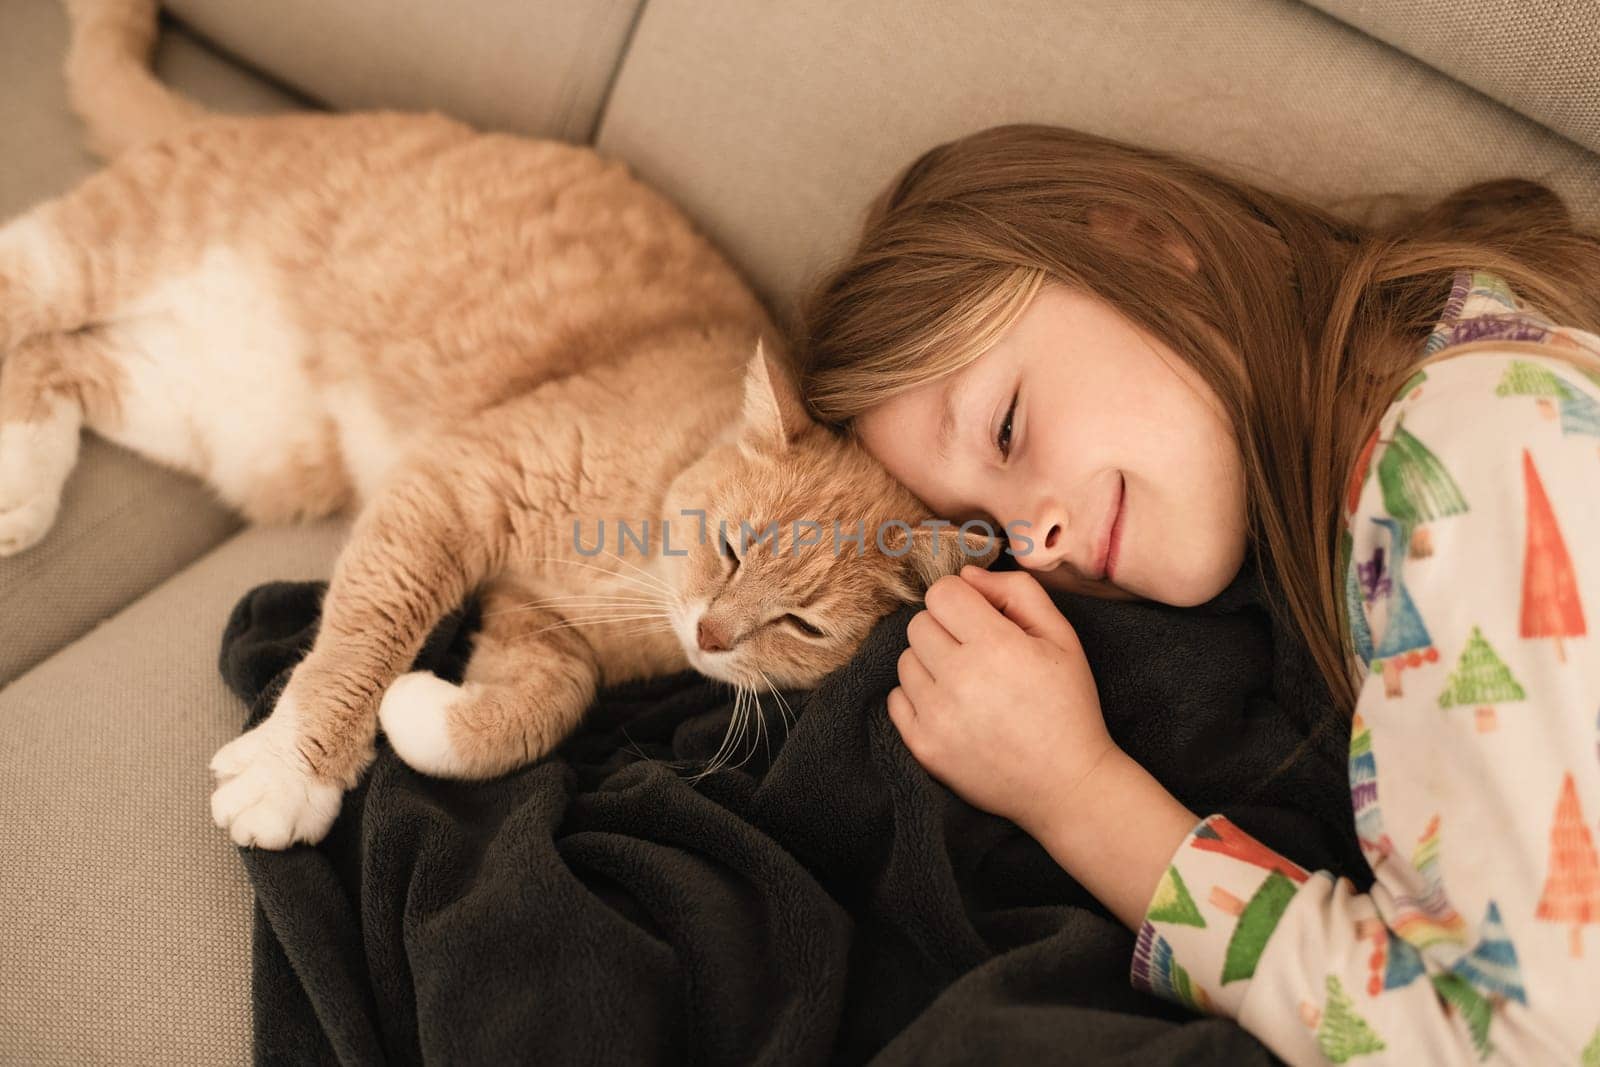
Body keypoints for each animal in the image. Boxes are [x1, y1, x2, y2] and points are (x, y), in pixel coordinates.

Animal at [0, 0, 985, 851]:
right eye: (732, 547)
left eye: (802, 627)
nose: (710, 637)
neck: (636, 566)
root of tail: (251, 124)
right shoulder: (453, 488)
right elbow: (366, 633)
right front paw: (292, 769)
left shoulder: (538, 625)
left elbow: (541, 707)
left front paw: (417, 712)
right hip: (96, 256)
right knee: (20, 288)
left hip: (234, 426)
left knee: (57, 368)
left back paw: (21, 485)